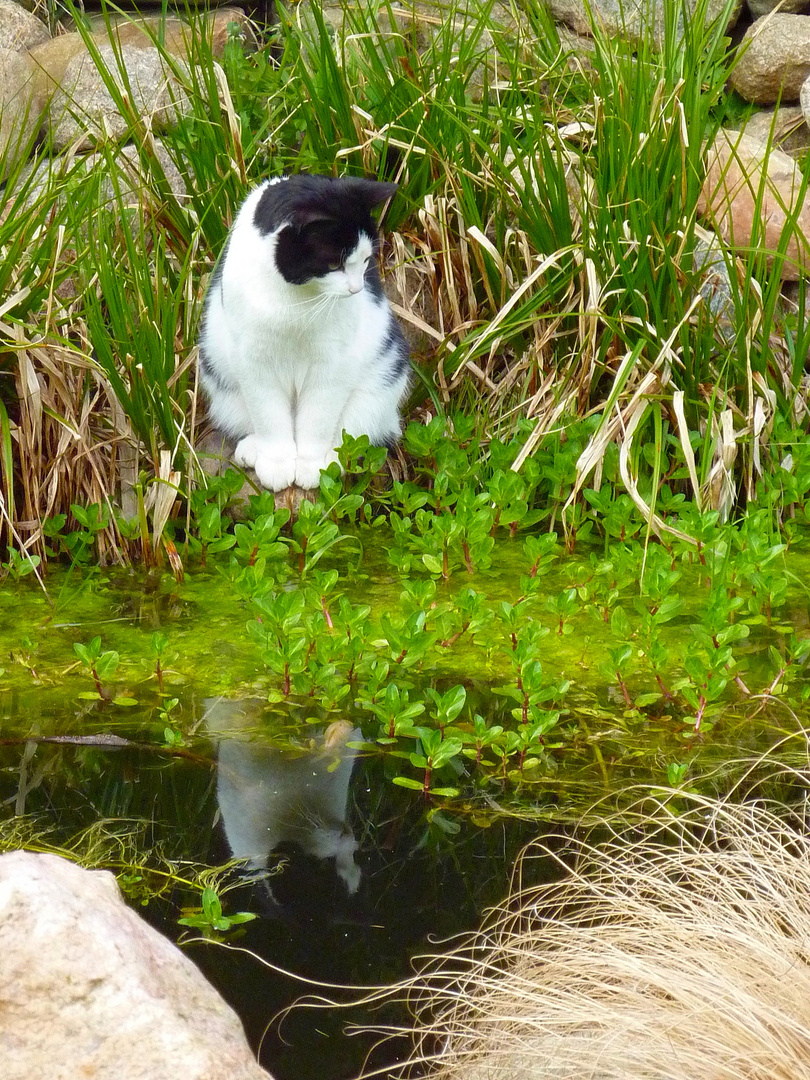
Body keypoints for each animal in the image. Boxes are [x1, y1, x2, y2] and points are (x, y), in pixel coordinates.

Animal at [197, 172, 412, 490]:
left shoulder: (333, 363)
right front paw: (276, 463)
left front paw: (313, 466)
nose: (356, 289)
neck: (297, 302)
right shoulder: (253, 360)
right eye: (334, 263)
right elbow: (268, 415)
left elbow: (318, 418)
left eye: (365, 260)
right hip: (225, 390)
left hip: (378, 390)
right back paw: (253, 448)